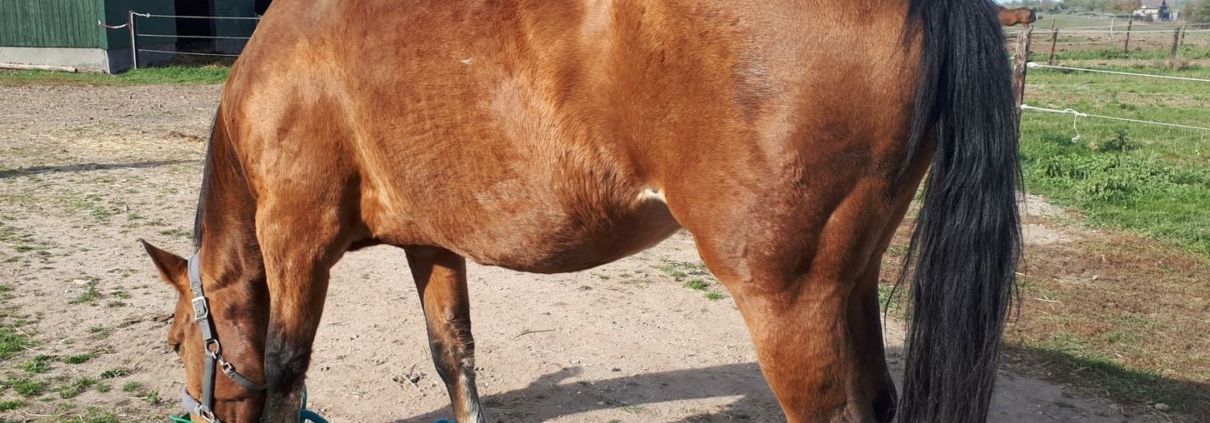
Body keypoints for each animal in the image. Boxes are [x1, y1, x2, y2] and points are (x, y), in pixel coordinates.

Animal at [139, 0, 1021, 422]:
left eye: (178, 339)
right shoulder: (432, 243)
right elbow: (453, 356)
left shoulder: (297, 239)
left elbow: (286, 372)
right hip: (850, 281)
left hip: (792, 299)